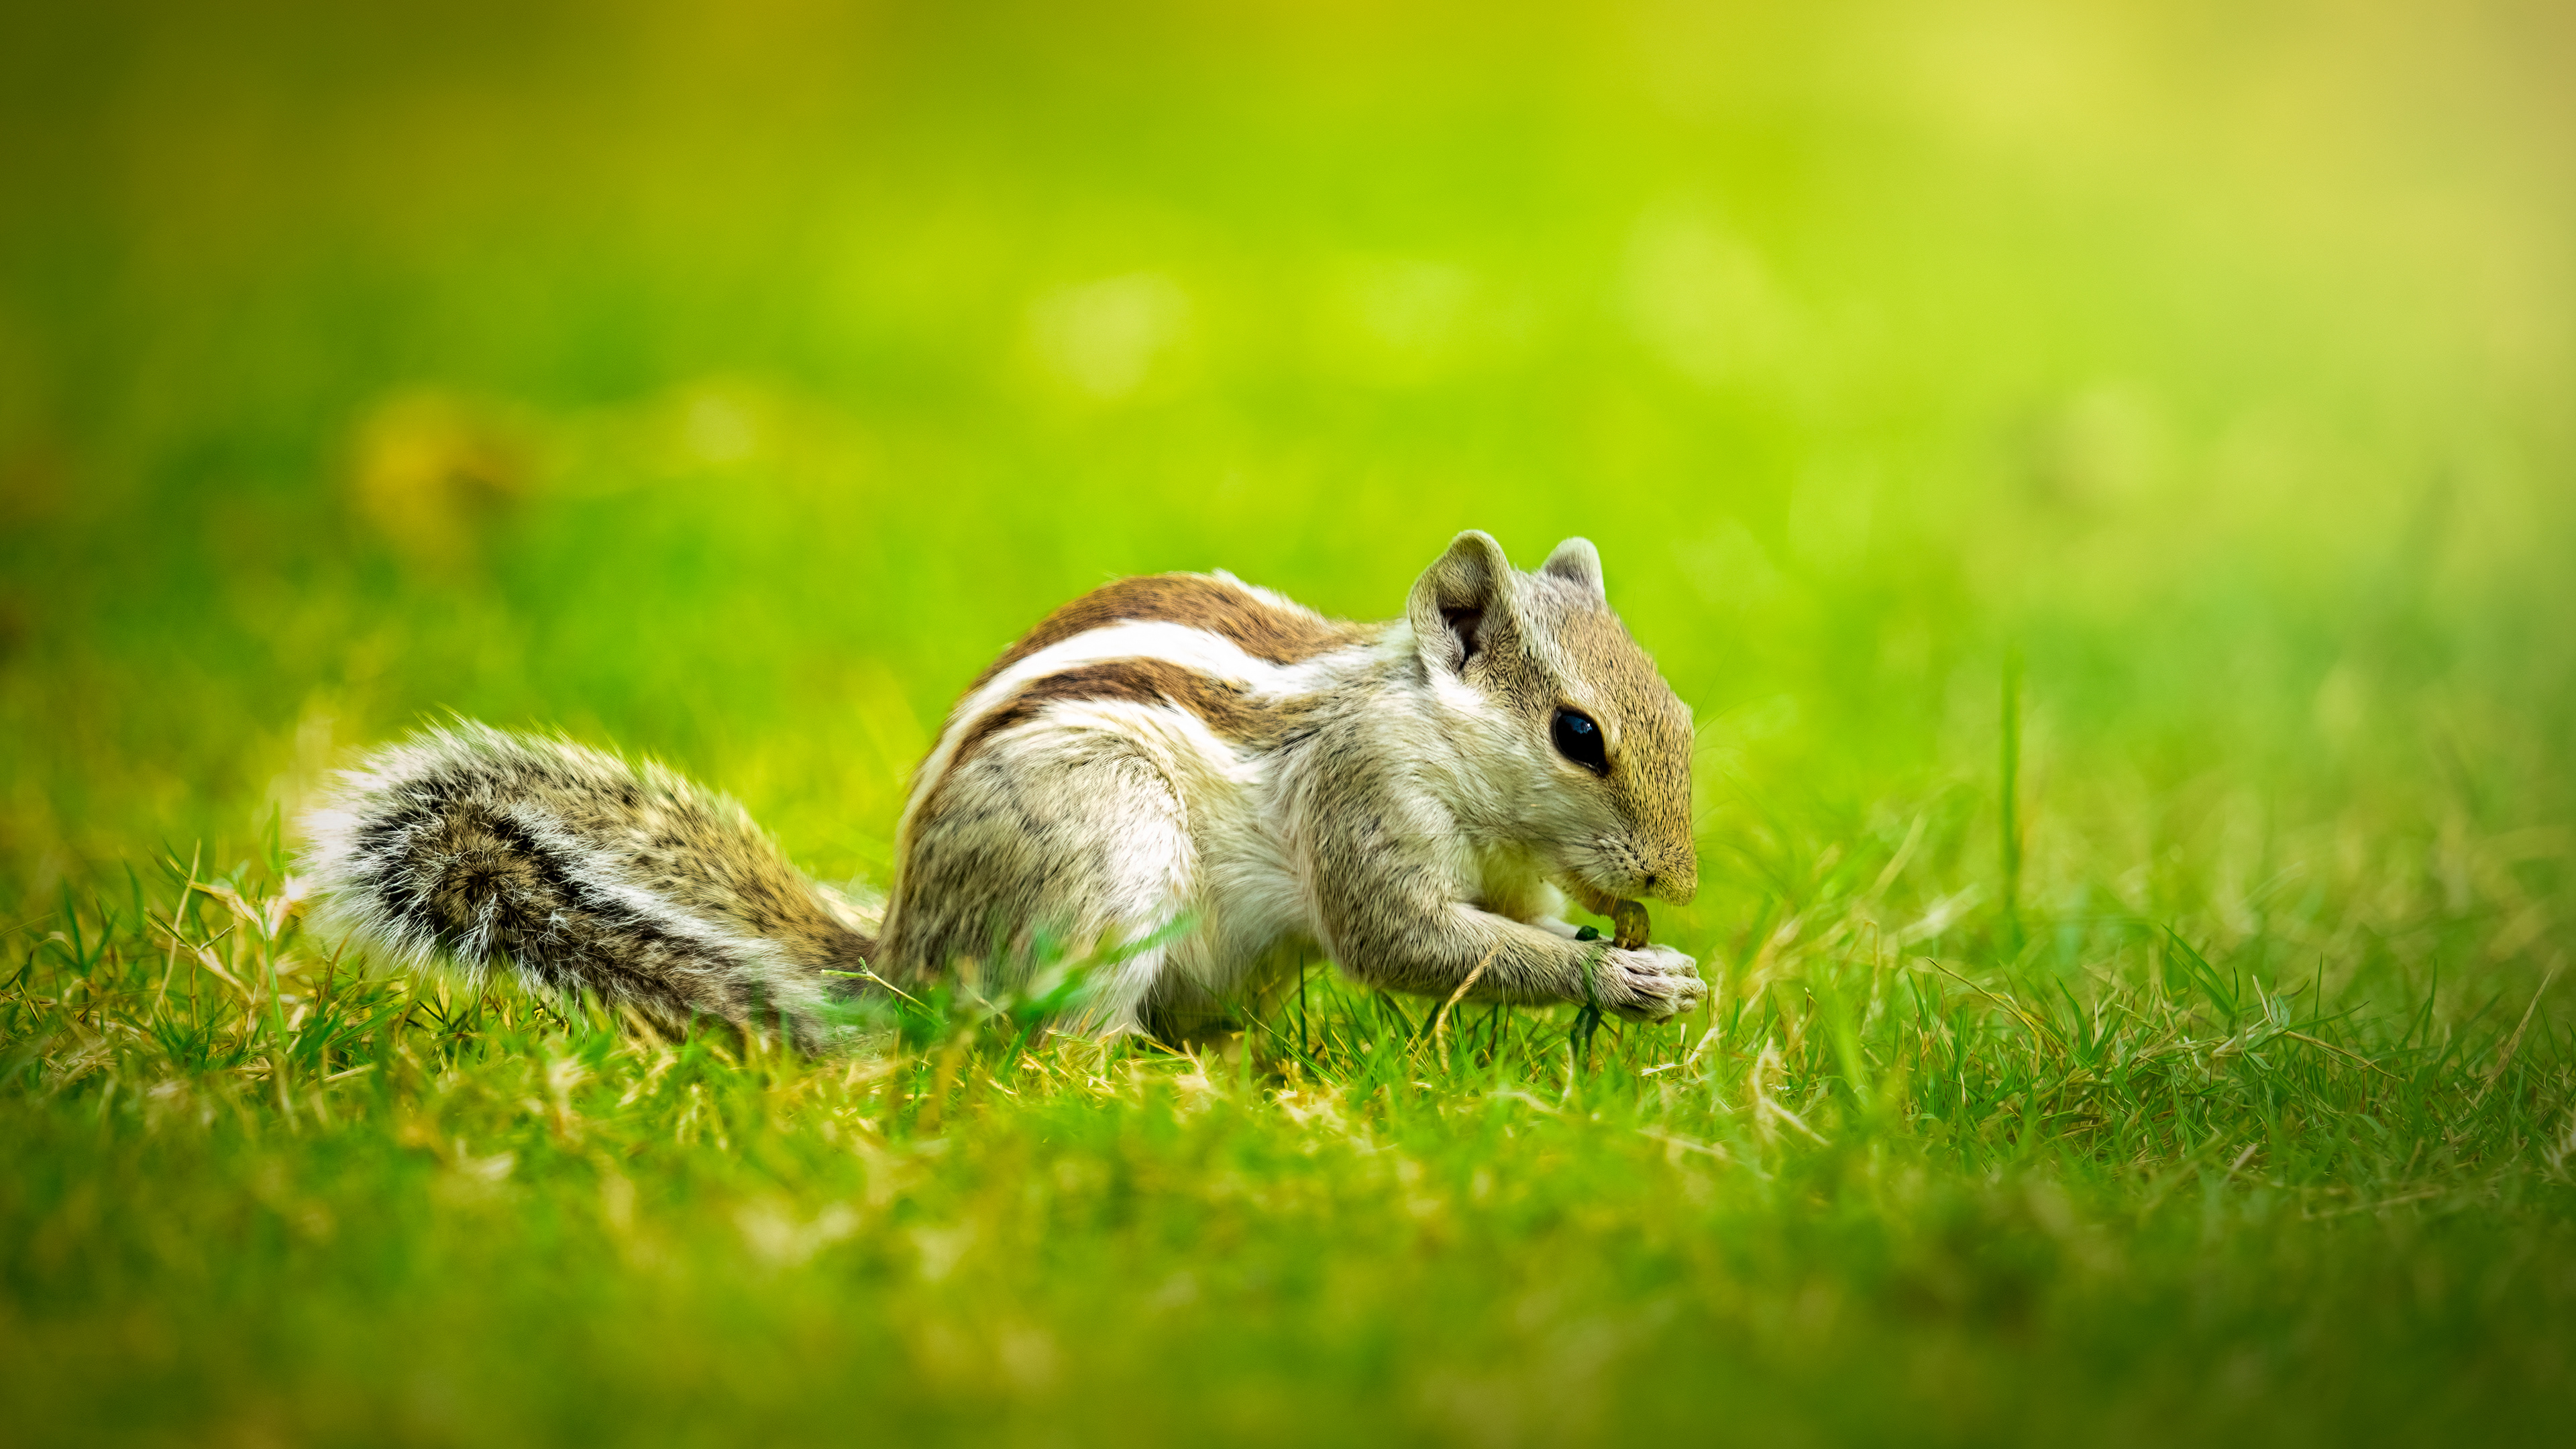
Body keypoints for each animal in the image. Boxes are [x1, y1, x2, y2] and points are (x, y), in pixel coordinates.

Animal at [300, 531, 1706, 1050]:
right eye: (1578, 734)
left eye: (1680, 715)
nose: (1675, 881)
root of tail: (910, 964)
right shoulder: (1360, 799)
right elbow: (1406, 938)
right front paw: (1622, 980)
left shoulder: (1503, 869)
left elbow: (1505, 929)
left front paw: (1636, 956)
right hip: (1107, 850)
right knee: (1051, 1049)